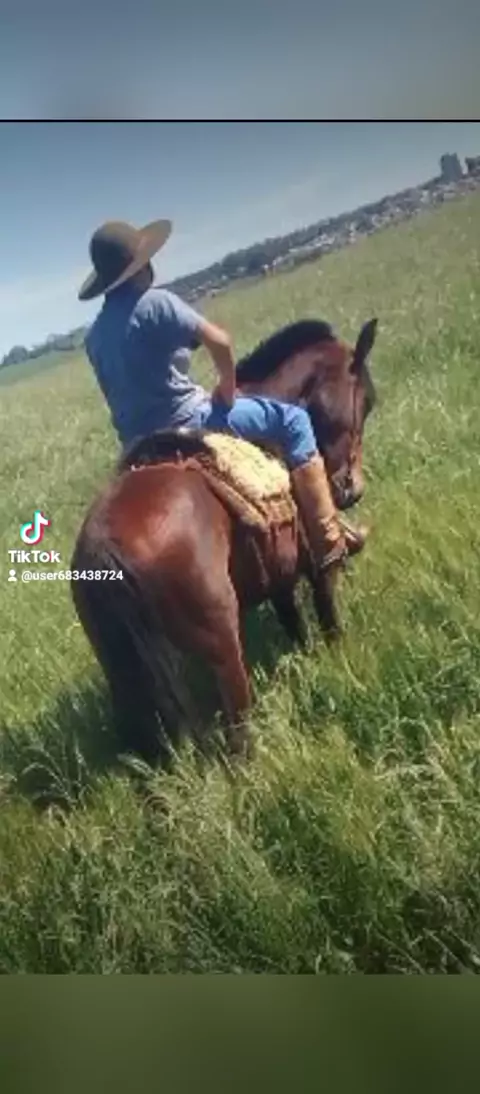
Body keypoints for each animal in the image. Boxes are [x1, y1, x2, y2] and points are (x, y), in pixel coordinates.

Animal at [70, 316, 378, 764]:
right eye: (367, 401)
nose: (351, 490)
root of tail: (103, 543)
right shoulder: (312, 564)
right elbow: (327, 614)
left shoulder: (276, 569)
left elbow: (292, 621)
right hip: (221, 644)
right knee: (238, 728)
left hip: (127, 673)